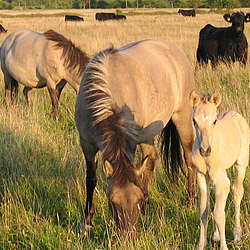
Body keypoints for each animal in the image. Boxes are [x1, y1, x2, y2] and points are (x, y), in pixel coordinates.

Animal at [75, 39, 196, 238]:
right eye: (112, 201)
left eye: (136, 199)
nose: (128, 237)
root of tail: (175, 50)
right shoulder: (87, 144)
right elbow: (90, 180)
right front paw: (87, 222)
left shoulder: (129, 143)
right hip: (146, 133)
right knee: (151, 156)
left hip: (182, 117)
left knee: (189, 158)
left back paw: (191, 200)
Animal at [189, 90, 248, 250]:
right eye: (194, 121)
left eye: (214, 121)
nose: (205, 150)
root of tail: (235, 113)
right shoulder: (201, 175)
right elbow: (204, 210)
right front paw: (201, 244)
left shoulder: (217, 176)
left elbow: (219, 214)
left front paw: (224, 246)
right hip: (222, 172)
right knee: (226, 187)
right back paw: (216, 235)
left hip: (241, 164)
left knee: (236, 192)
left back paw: (237, 236)